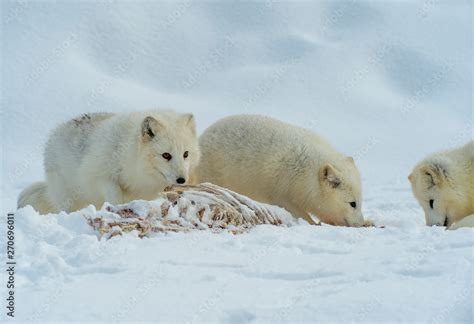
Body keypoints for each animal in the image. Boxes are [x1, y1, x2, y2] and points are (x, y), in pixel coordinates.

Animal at [18, 111, 200, 215]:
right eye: (166, 155)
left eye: (185, 154)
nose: (182, 180)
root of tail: (55, 132)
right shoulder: (96, 176)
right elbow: (115, 193)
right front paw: (118, 209)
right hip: (68, 198)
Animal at [195, 115, 370, 227]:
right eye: (353, 204)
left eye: (361, 202)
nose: (360, 223)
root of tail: (201, 138)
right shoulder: (282, 193)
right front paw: (314, 224)